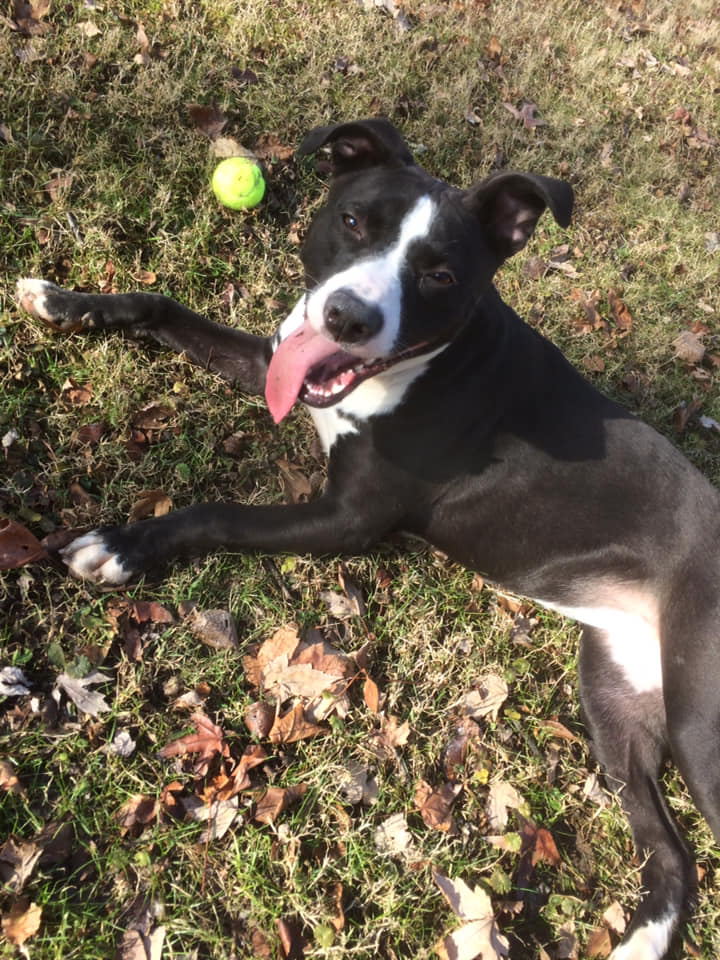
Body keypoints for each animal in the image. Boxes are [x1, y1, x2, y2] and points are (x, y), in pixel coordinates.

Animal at [16, 120, 720, 960]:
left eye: (441, 274)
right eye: (354, 222)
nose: (348, 318)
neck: (421, 366)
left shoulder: (344, 519)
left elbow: (217, 510)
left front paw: (123, 545)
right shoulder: (279, 361)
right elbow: (165, 305)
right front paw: (61, 299)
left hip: (700, 723)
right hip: (615, 697)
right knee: (672, 852)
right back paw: (642, 938)